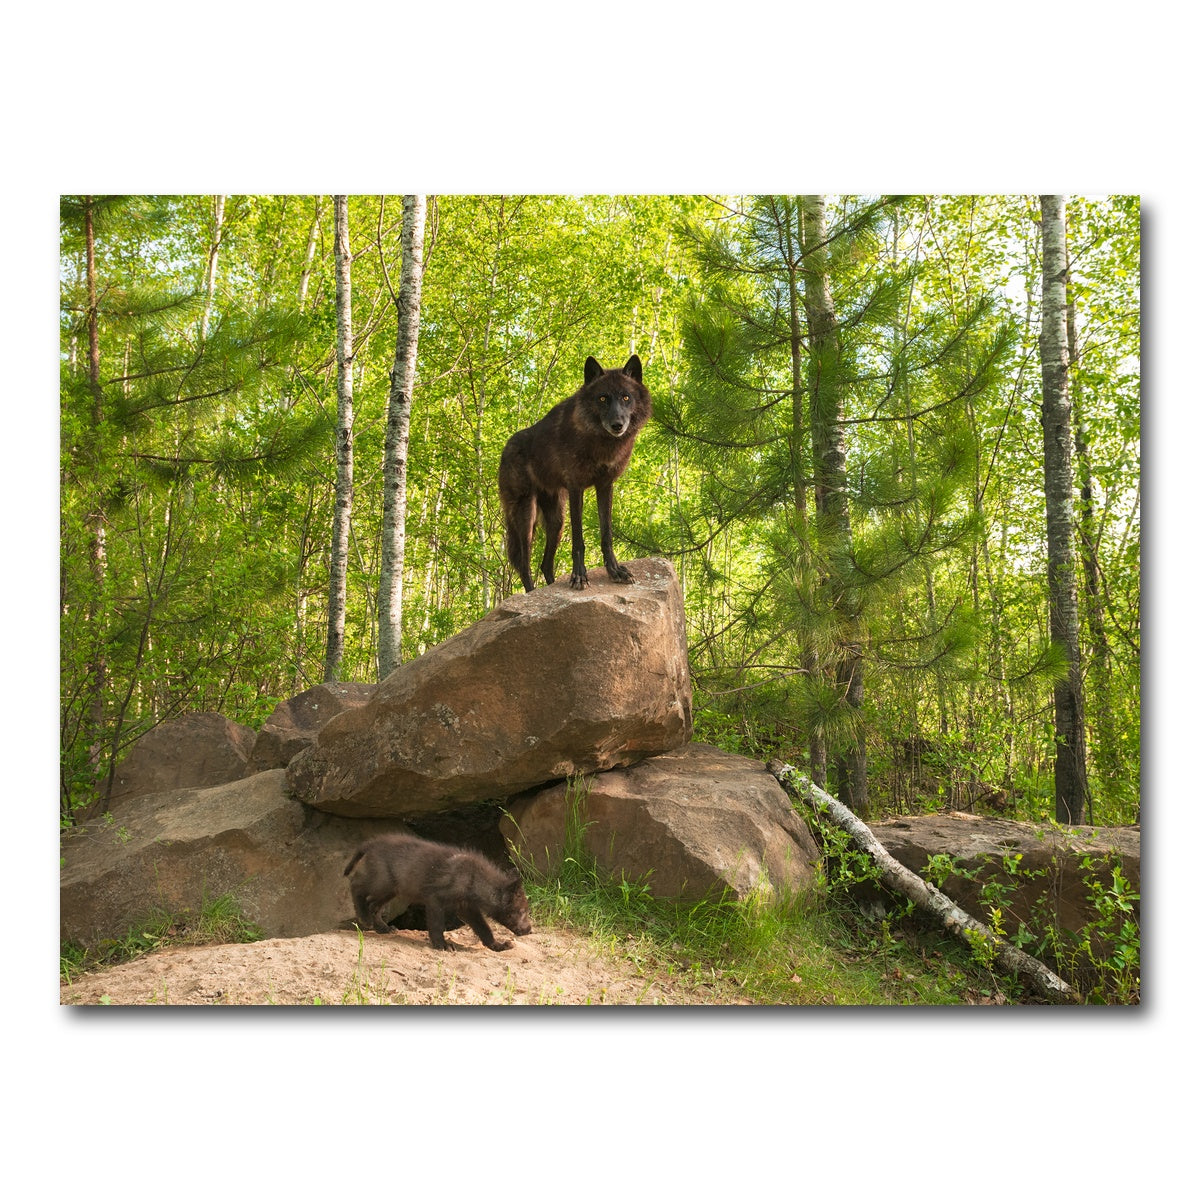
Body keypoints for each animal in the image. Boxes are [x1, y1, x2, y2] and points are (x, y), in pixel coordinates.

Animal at [343, 833, 533, 952]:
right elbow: (436, 925)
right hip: (382, 882)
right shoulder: (435, 899)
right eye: (522, 911)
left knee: (374, 905)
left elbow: (484, 929)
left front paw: (497, 945)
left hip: (391, 889)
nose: (529, 930)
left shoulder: (467, 908)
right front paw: (441, 945)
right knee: (356, 885)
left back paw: (382, 928)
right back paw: (364, 918)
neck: (472, 878)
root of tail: (372, 843)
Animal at [499, 354, 651, 592]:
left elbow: (607, 535)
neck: (601, 443)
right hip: (526, 517)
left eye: (626, 397)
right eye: (603, 398)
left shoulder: (605, 486)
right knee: (524, 565)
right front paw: (579, 576)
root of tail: (505, 449)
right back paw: (531, 594)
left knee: (545, 564)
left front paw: (615, 571)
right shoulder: (576, 488)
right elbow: (579, 540)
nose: (617, 425)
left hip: (556, 521)